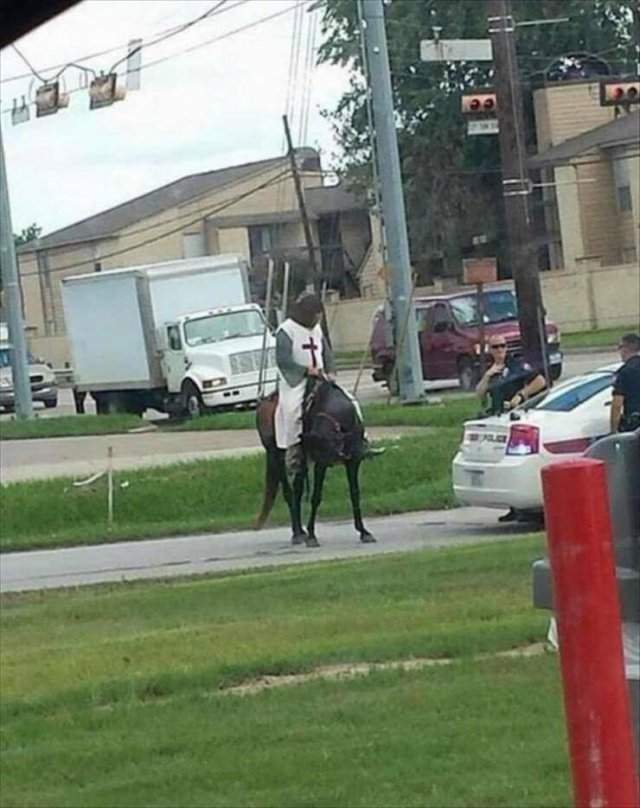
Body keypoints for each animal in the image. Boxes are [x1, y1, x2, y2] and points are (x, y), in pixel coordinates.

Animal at [254, 380, 376, 548]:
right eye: (318, 452)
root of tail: (264, 403)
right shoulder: (320, 464)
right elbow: (316, 496)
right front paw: (312, 535)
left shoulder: (353, 461)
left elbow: (355, 493)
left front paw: (364, 532)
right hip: (277, 457)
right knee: (289, 493)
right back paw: (297, 534)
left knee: (297, 491)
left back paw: (300, 531)